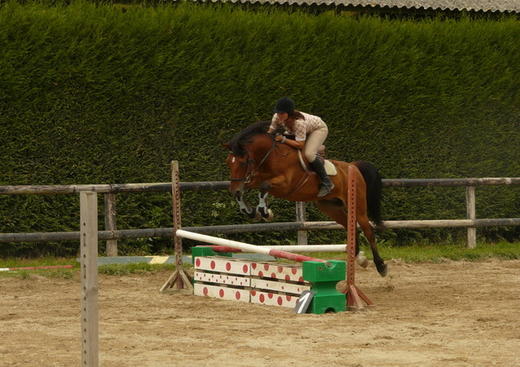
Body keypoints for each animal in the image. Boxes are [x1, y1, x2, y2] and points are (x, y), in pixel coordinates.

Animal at [221, 122, 388, 278]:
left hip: (358, 206)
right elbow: (247, 191)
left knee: (368, 230)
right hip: (330, 207)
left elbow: (264, 187)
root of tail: (353, 166)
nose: (234, 188)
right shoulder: (254, 179)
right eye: (228, 162)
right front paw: (251, 211)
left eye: (243, 161)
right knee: (350, 226)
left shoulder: (285, 185)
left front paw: (265, 212)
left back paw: (381, 266)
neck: (271, 156)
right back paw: (360, 259)